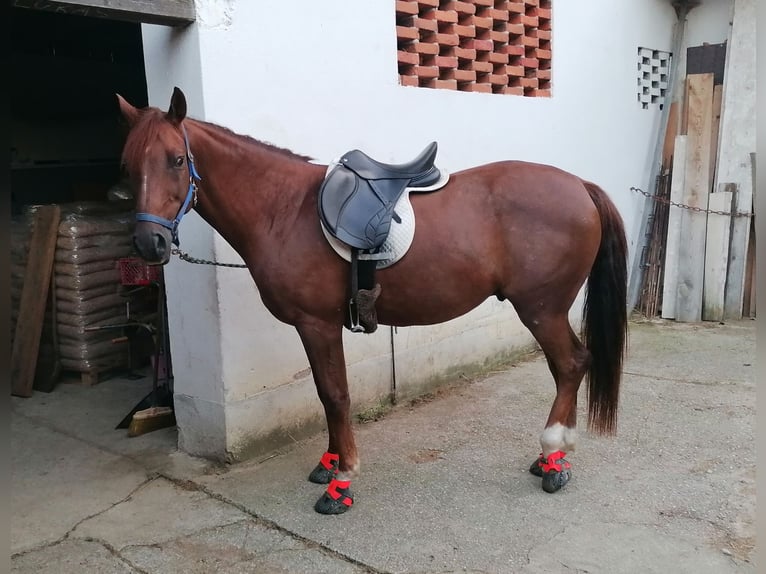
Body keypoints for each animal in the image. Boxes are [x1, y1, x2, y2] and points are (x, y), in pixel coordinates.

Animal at [118, 87, 628, 515]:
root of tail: (581, 186)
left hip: (542, 309)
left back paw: (554, 452)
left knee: (572, 364)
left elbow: (336, 394)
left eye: (177, 159)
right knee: (568, 367)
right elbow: (325, 395)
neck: (283, 208)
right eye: (127, 163)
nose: (148, 244)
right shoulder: (314, 327)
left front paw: (341, 481)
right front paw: (328, 461)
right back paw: (553, 458)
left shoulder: (317, 324)